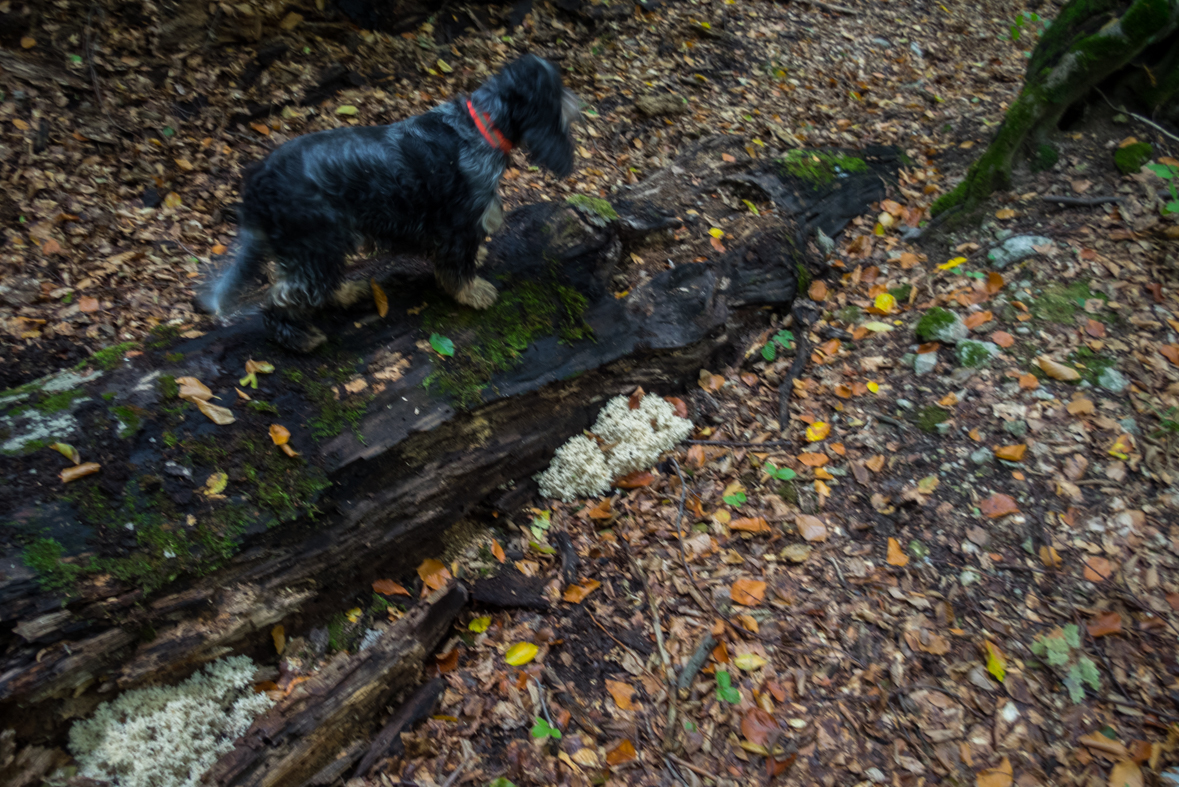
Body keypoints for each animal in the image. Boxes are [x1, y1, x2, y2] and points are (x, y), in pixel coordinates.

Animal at [202, 55, 580, 351]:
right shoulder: (458, 226)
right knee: (279, 298)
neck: (479, 126)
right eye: (557, 96)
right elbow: (456, 270)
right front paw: (473, 292)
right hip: (316, 246)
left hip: (323, 245)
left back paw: (345, 293)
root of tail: (258, 181)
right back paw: (298, 337)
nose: (578, 102)